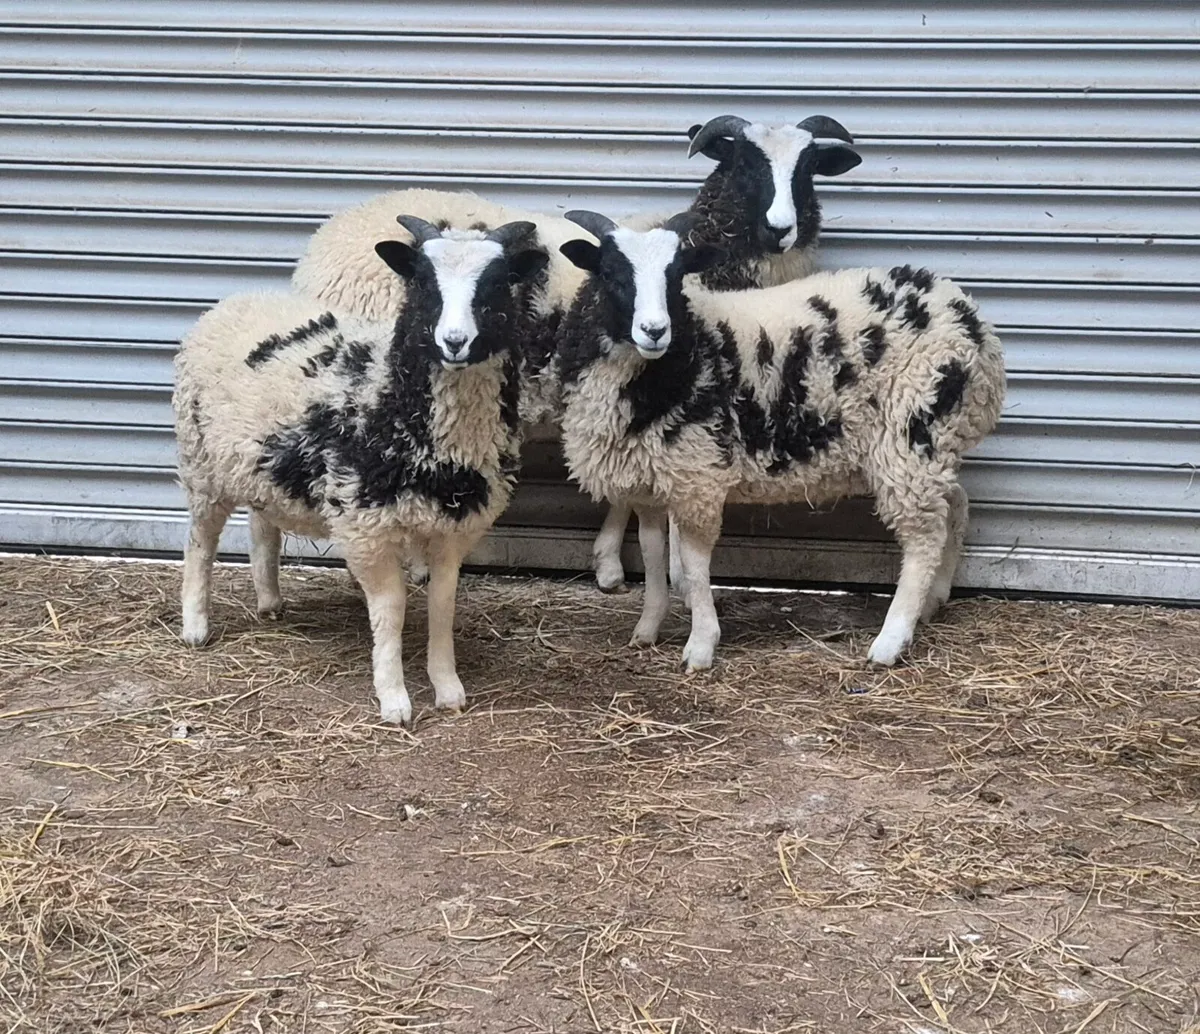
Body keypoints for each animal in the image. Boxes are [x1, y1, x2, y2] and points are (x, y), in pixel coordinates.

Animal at [174, 216, 549, 724]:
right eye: (423, 284)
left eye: (495, 285)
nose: (454, 342)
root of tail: (236, 300)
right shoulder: (366, 525)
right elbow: (390, 609)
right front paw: (394, 699)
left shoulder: (454, 527)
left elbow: (443, 602)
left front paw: (448, 687)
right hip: (201, 463)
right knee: (201, 539)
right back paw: (196, 625)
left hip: (259, 462)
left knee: (261, 523)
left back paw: (269, 599)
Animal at [554, 210, 1006, 670]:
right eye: (611, 273)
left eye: (676, 275)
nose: (654, 330)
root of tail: (969, 318)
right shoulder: (650, 480)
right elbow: (651, 552)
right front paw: (647, 628)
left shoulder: (697, 477)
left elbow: (695, 567)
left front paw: (700, 645)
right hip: (931, 443)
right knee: (954, 506)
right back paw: (933, 602)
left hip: (909, 434)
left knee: (923, 538)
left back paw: (890, 641)